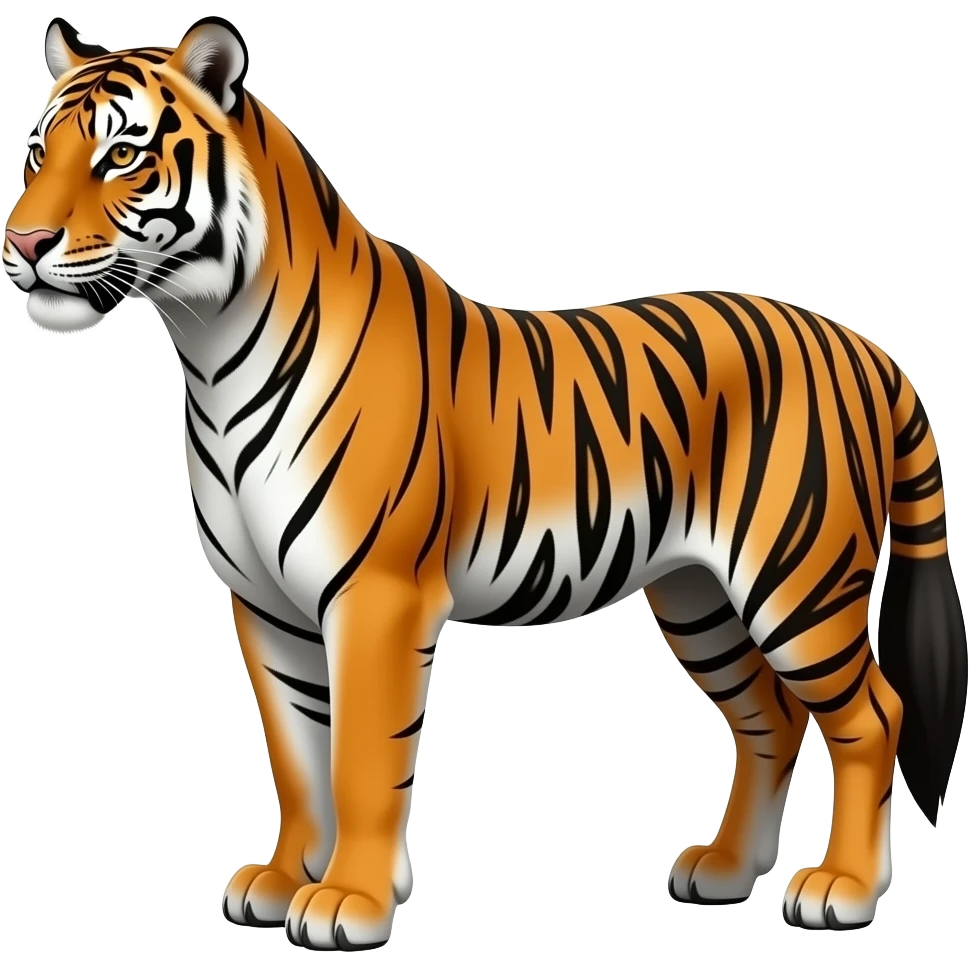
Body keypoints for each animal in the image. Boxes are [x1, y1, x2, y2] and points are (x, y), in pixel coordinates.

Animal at [5, 14, 966, 950]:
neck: (208, 345)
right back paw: (725, 871)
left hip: (796, 581)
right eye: (40, 149)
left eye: (121, 155)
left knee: (872, 715)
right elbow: (295, 753)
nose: (22, 240)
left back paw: (841, 890)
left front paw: (348, 900)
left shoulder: (376, 595)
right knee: (771, 718)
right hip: (700, 597)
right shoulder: (263, 604)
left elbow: (359, 760)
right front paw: (282, 880)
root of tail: (862, 345)